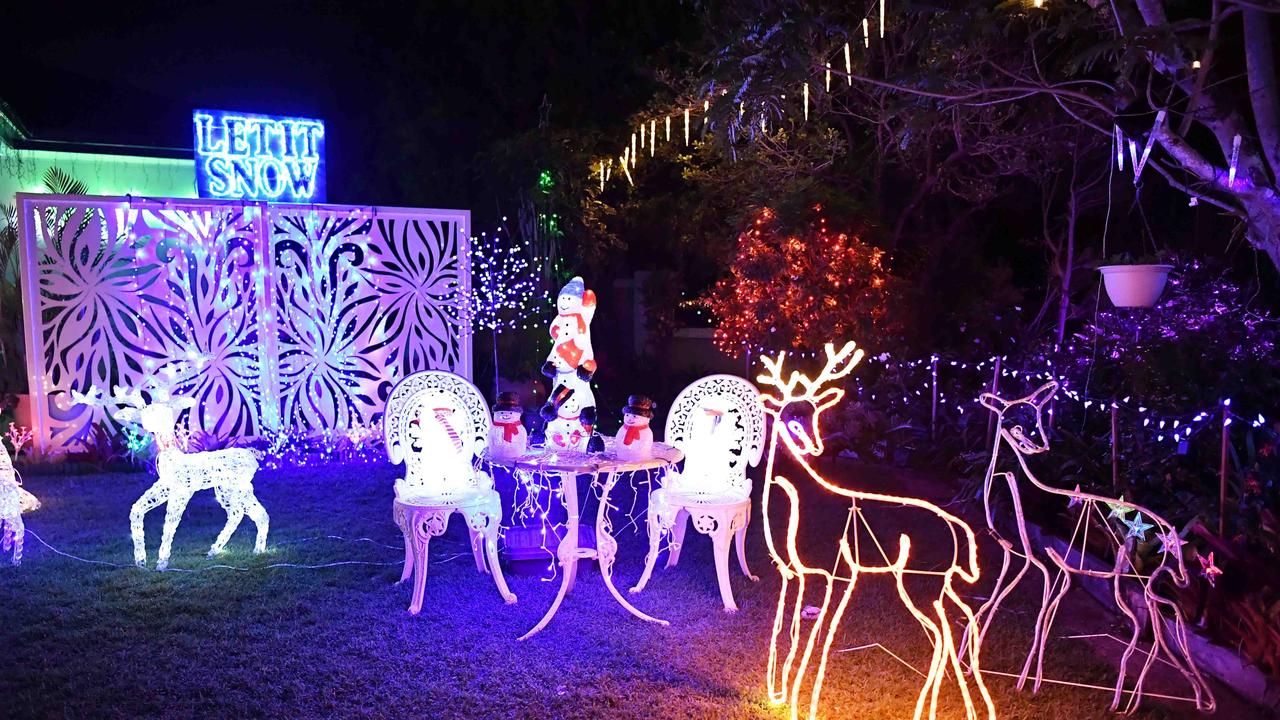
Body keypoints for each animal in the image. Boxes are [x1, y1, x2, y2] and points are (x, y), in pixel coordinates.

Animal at [757, 340, 998, 717]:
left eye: (814, 415)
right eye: (789, 418)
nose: (815, 446)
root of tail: (957, 528)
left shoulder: (835, 571)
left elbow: (817, 638)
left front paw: (802, 704)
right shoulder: (790, 572)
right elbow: (785, 631)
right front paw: (778, 695)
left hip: (920, 579)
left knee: (942, 633)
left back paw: (931, 708)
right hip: (940, 583)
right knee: (961, 620)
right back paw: (966, 707)